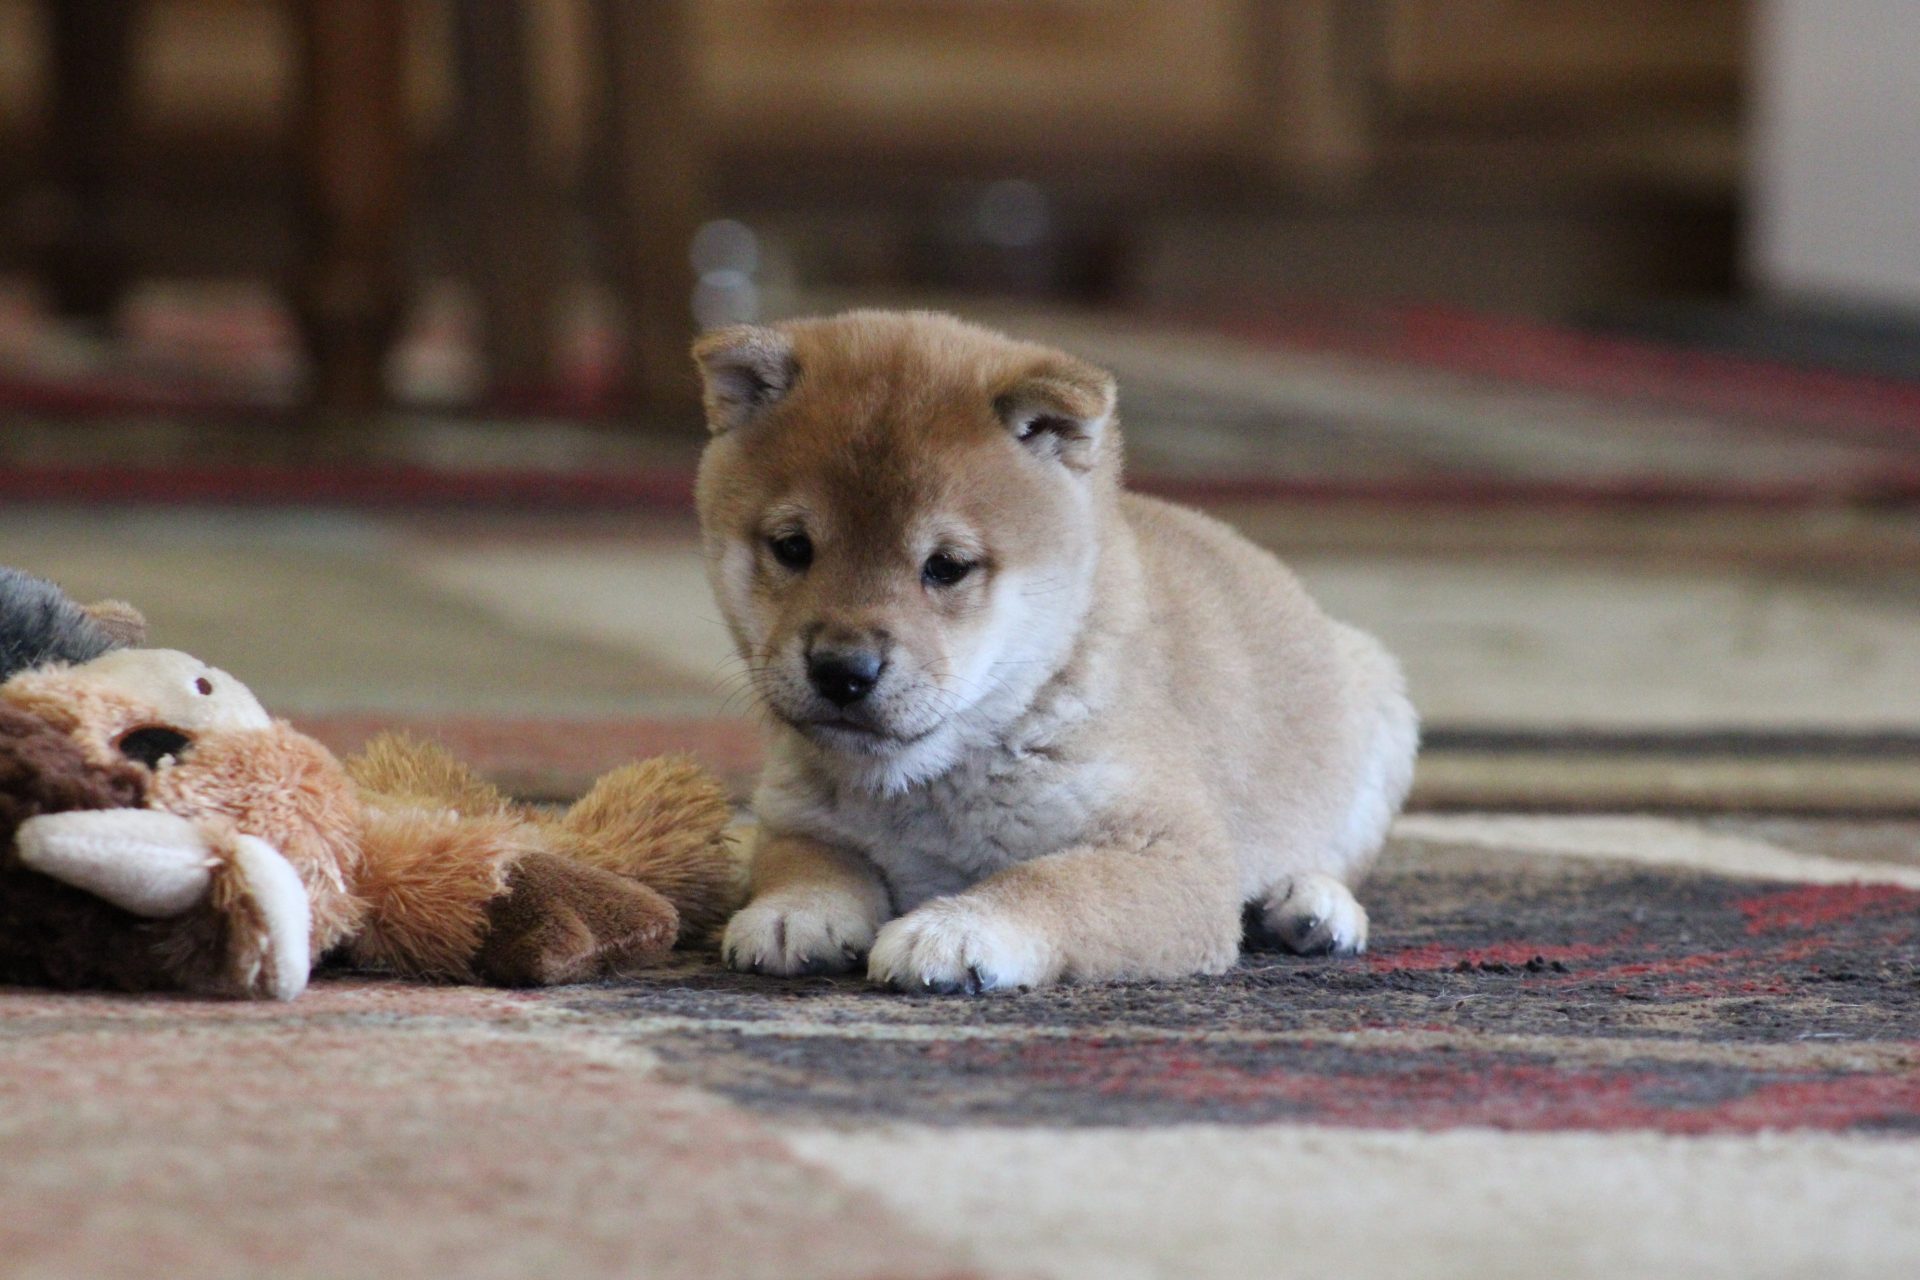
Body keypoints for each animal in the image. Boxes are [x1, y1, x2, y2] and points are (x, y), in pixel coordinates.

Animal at [693, 311, 1417, 992]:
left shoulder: (1174, 855)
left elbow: (1052, 885)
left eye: (947, 566)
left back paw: (1311, 905)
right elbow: (802, 857)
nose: (842, 670)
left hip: (1377, 699)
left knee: (1338, 858)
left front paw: (956, 929)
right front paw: (794, 911)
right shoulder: (794, 810)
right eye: (792, 547)